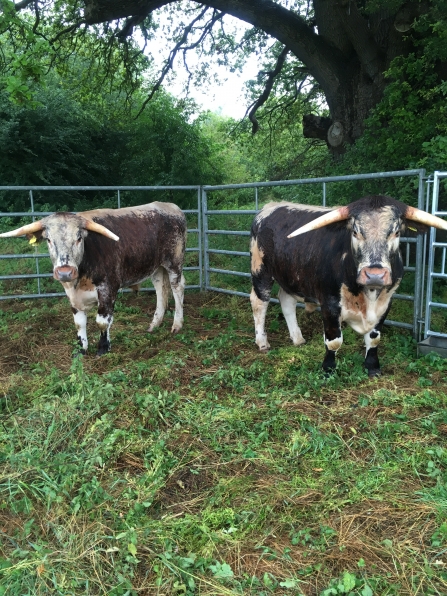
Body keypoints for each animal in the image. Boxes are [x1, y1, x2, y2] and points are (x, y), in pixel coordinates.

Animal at [0, 203, 186, 356]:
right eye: (49, 239)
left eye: (79, 238)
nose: (65, 272)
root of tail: (171, 207)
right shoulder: (72, 295)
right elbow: (79, 323)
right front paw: (81, 349)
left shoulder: (108, 289)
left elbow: (102, 322)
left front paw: (103, 348)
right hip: (155, 267)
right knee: (161, 289)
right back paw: (154, 324)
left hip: (174, 262)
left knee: (177, 287)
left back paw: (177, 325)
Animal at [250, 197, 447, 378]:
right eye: (355, 231)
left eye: (396, 232)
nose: (374, 274)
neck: (368, 296)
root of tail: (269, 207)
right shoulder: (329, 303)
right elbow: (334, 341)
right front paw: (328, 369)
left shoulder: (386, 302)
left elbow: (374, 339)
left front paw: (372, 366)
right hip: (260, 270)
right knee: (259, 303)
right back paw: (262, 342)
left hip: (290, 277)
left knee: (286, 301)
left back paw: (298, 339)